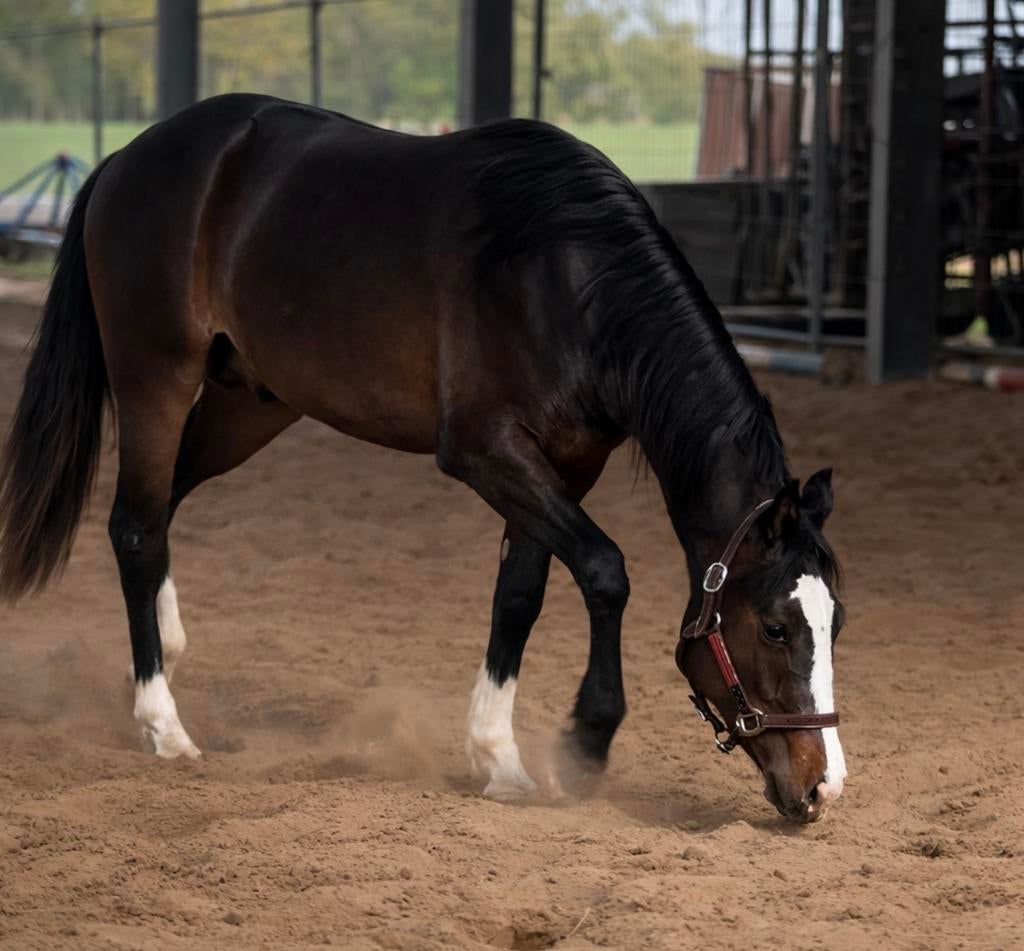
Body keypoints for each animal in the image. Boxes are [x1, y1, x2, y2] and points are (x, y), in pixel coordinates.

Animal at [0, 93, 846, 823]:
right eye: (775, 627)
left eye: (835, 622)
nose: (822, 786)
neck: (569, 279)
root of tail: (125, 160)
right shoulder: (484, 452)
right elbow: (606, 570)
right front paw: (585, 739)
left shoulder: (564, 466)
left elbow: (519, 598)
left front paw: (499, 760)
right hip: (158, 378)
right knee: (137, 526)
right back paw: (163, 723)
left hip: (249, 403)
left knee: (160, 506)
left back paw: (164, 657)